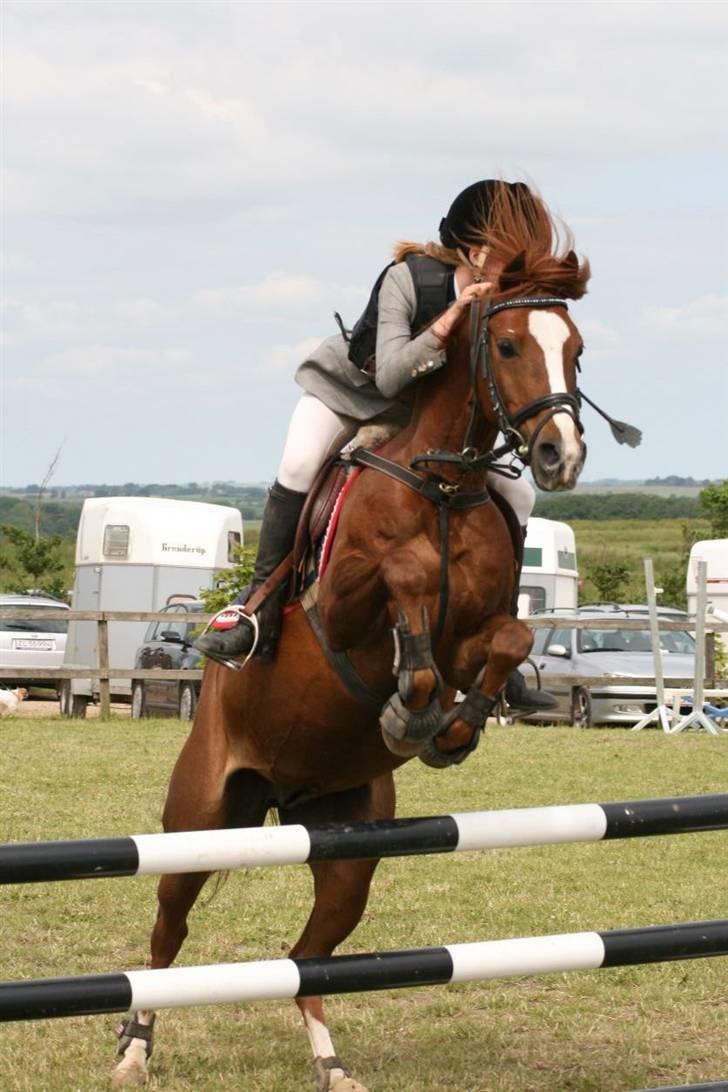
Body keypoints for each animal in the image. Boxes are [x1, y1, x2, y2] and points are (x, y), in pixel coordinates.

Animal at [112, 248, 590, 1091]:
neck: (442, 485)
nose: (560, 455)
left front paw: (446, 728)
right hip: (199, 819)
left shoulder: (475, 633)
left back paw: (331, 1064)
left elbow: (506, 641)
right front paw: (412, 700)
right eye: (506, 346)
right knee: (169, 934)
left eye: (577, 350)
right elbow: (402, 578)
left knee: (307, 960)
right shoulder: (339, 610)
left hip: (349, 850)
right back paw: (134, 1047)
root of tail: (281, 792)